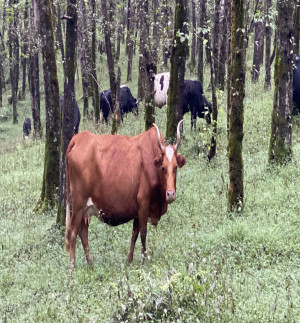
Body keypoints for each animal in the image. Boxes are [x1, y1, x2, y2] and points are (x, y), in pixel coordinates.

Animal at [65, 121, 185, 268]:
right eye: (163, 167)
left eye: (175, 167)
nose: (170, 194)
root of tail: (78, 138)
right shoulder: (143, 203)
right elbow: (143, 233)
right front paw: (143, 261)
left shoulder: (137, 211)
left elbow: (135, 234)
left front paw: (129, 260)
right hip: (78, 204)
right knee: (72, 232)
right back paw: (72, 267)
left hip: (86, 209)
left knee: (83, 232)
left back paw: (91, 266)